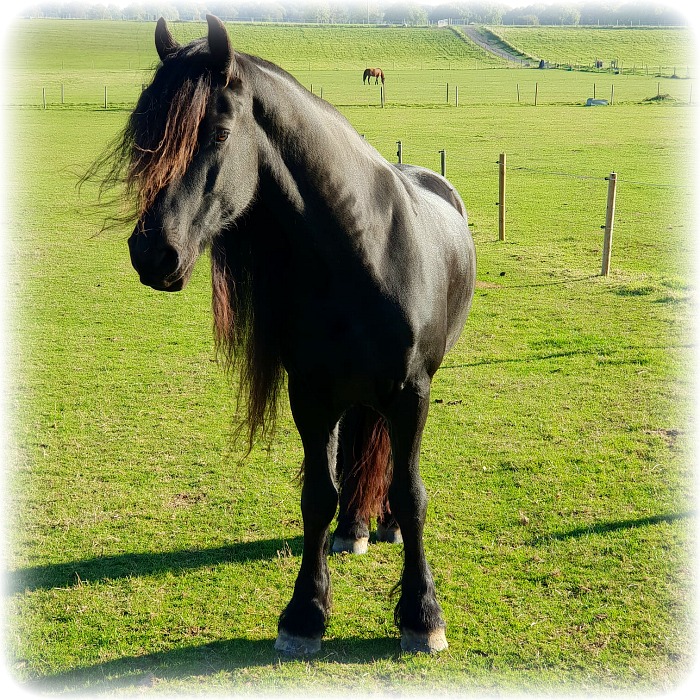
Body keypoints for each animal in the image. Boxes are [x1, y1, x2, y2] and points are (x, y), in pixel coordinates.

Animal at [96, 15, 475, 656]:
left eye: (220, 131)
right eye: (145, 134)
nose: (152, 253)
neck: (363, 254)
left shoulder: (411, 394)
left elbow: (412, 493)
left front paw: (422, 614)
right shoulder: (312, 395)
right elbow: (317, 493)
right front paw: (305, 613)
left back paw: (384, 529)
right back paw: (355, 527)